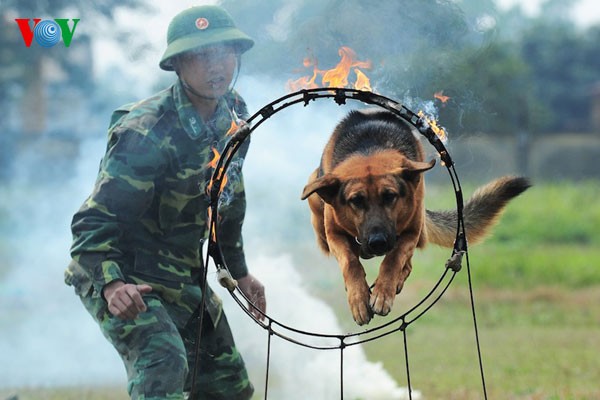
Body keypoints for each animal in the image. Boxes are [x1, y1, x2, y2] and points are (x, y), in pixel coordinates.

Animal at [300, 108, 528, 324]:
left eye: (389, 196)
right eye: (356, 200)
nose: (377, 243)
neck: (369, 148)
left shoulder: (410, 231)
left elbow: (393, 259)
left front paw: (383, 292)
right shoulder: (334, 234)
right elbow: (350, 263)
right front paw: (358, 299)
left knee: (407, 264)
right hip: (316, 202)